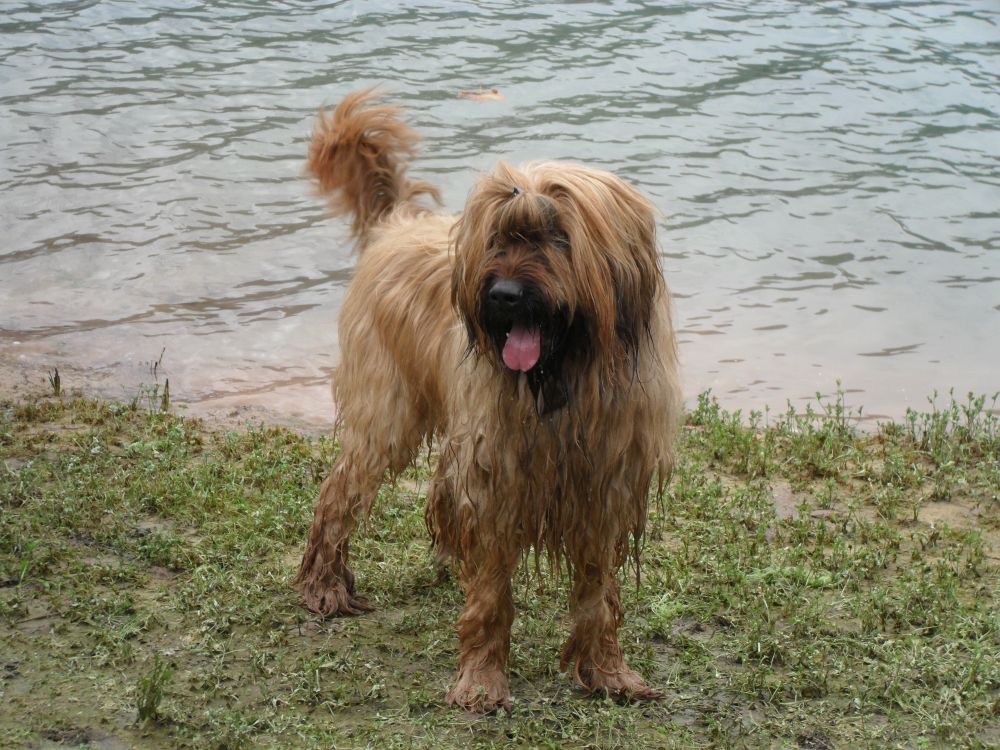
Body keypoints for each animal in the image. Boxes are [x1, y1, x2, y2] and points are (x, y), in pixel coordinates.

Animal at [293, 89, 682, 712]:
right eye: (499, 238)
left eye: (559, 237)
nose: (503, 295)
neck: (561, 379)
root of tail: (398, 223)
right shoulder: (499, 476)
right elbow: (493, 591)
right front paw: (481, 679)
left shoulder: (604, 486)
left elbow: (598, 592)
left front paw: (607, 672)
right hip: (387, 411)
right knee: (339, 493)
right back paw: (324, 585)